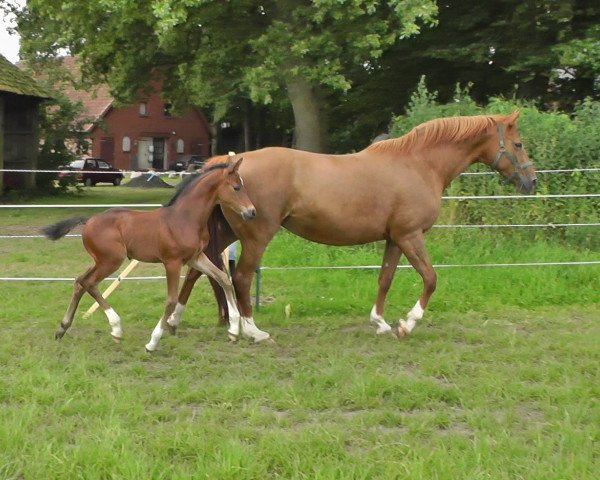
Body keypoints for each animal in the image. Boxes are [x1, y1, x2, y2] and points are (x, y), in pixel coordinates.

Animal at [39, 159, 260, 350]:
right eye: (236, 187)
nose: (252, 212)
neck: (185, 218)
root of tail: (88, 220)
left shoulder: (196, 258)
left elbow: (224, 279)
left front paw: (233, 330)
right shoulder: (172, 262)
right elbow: (171, 300)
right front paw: (152, 343)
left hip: (100, 260)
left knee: (79, 282)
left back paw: (62, 328)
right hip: (111, 261)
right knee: (89, 283)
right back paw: (116, 329)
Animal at [172, 111, 536, 340]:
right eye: (518, 144)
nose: (531, 181)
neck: (418, 164)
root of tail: (229, 164)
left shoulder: (394, 238)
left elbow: (385, 279)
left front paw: (381, 323)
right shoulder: (410, 235)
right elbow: (431, 279)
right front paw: (407, 324)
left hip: (229, 232)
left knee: (199, 270)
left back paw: (178, 320)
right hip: (256, 236)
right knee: (241, 277)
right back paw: (251, 330)